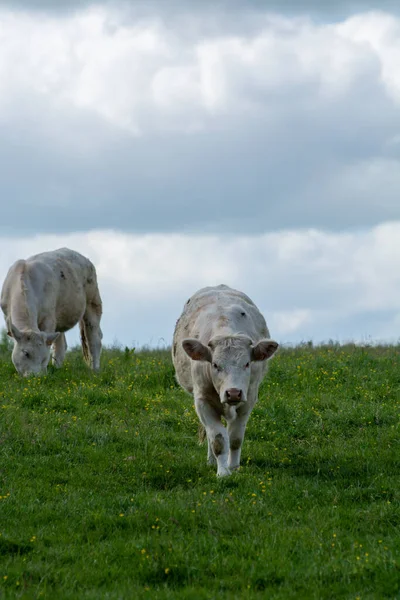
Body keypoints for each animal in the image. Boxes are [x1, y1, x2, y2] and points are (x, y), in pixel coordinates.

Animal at [0, 247, 103, 376]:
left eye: (44, 358)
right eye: (26, 353)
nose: (35, 377)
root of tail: (84, 258)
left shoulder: (49, 318)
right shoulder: (7, 316)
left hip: (93, 301)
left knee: (94, 339)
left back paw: (95, 370)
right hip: (59, 317)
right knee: (61, 345)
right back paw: (57, 367)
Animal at [172, 284, 278, 478]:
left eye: (247, 363)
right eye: (215, 364)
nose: (233, 393)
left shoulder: (249, 399)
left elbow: (235, 438)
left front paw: (233, 467)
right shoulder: (203, 401)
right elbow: (218, 439)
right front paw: (222, 472)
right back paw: (211, 461)